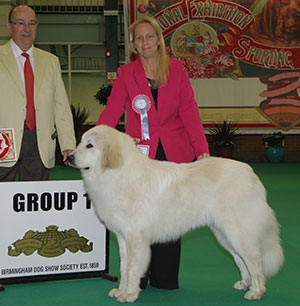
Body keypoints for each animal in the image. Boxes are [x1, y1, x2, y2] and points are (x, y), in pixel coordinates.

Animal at [67, 125, 284, 304]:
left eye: (89, 145)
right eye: (80, 142)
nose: (69, 157)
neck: (117, 172)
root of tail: (251, 174)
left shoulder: (136, 238)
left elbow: (132, 268)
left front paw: (129, 294)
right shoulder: (122, 237)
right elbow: (123, 266)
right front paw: (121, 291)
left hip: (237, 232)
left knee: (254, 260)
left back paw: (256, 291)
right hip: (224, 235)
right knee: (242, 260)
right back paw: (245, 284)